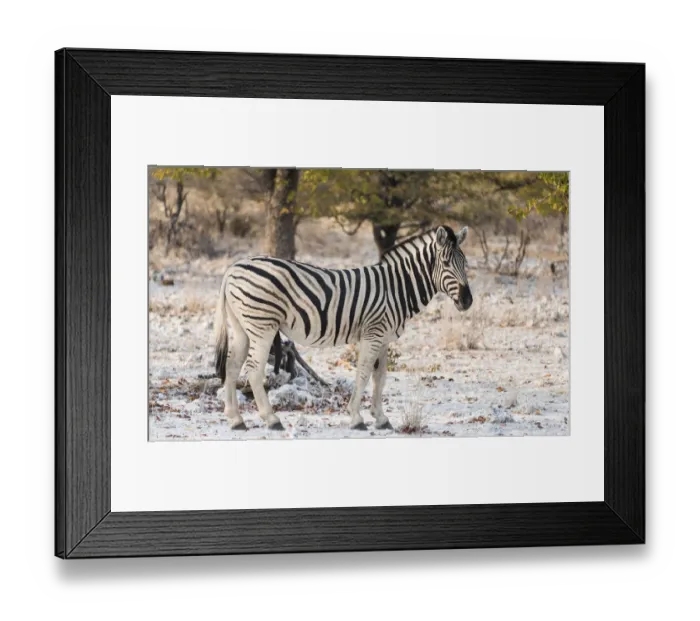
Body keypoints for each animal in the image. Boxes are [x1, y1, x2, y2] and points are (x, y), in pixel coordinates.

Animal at [214, 225, 473, 432]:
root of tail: (232, 269)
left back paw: (235, 420)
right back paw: (272, 419)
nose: (468, 301)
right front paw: (357, 418)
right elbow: (363, 374)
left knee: (232, 366)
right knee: (254, 370)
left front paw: (380, 418)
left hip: (243, 327)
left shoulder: (384, 338)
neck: (397, 288)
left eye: (466, 264)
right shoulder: (373, 333)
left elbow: (380, 377)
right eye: (446, 263)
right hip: (263, 325)